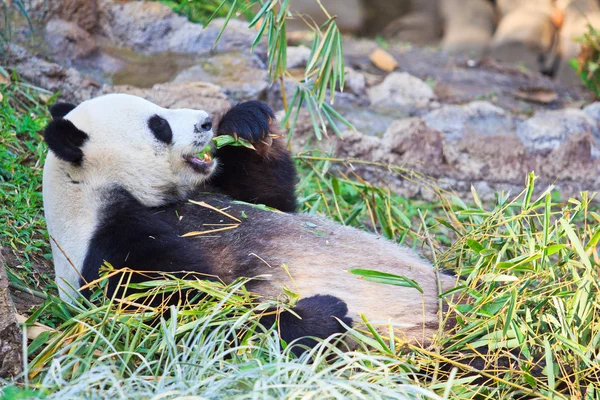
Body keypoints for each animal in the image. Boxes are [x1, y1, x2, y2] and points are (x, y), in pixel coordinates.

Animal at [42, 93, 454, 350]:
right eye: (160, 125)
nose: (206, 121)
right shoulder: (112, 252)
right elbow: (192, 318)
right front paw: (324, 313)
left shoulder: (216, 193)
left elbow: (271, 199)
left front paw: (246, 123)